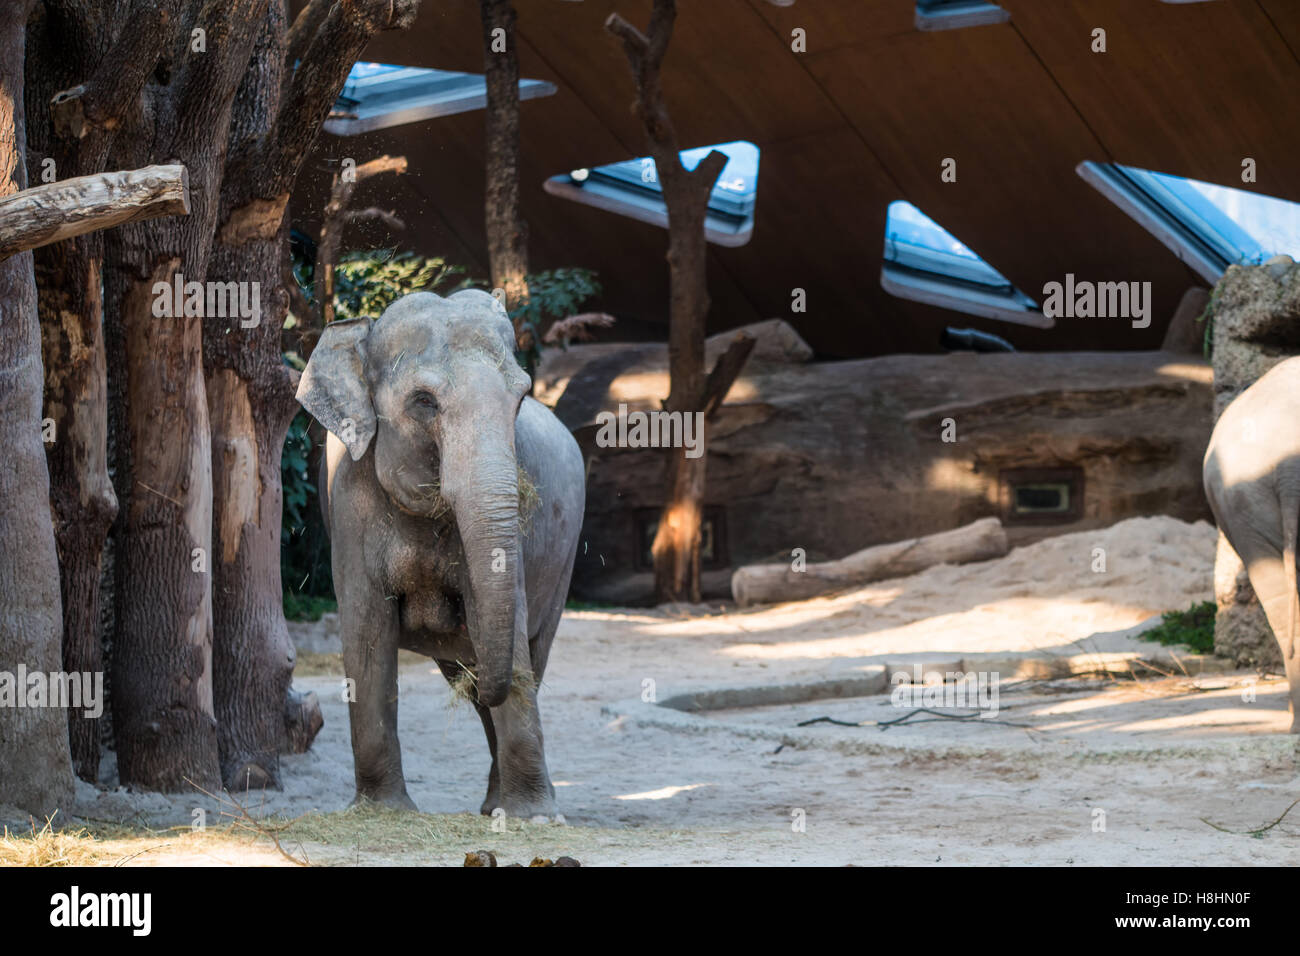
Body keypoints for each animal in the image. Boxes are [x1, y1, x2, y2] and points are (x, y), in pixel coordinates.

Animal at [297, 287, 587, 816]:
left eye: (519, 398)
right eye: (424, 402)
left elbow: (511, 628)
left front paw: (536, 819)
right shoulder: (348, 502)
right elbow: (366, 634)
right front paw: (384, 812)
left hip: (565, 559)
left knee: (531, 654)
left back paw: (499, 806)